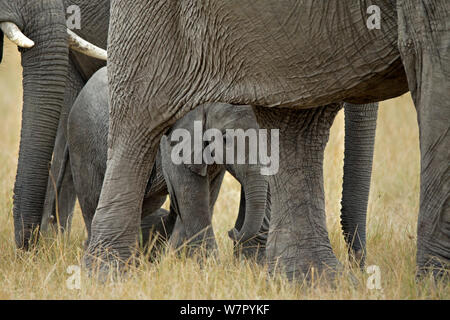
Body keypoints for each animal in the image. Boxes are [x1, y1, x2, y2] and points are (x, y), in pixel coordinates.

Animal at [61, 67, 268, 260]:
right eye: (225, 138)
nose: (232, 231)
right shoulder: (173, 141)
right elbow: (191, 195)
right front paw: (207, 264)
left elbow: (209, 192)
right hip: (82, 140)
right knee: (92, 201)